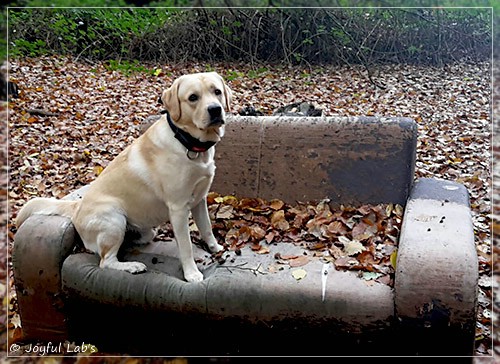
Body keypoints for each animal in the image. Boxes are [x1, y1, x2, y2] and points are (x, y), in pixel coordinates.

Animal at [15, 70, 230, 282]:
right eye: (193, 97)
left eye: (217, 92)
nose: (215, 109)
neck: (187, 142)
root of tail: (77, 206)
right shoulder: (178, 208)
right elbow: (186, 246)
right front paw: (192, 274)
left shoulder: (199, 199)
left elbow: (207, 227)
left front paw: (216, 248)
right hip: (114, 219)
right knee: (106, 261)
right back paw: (133, 266)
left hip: (140, 229)